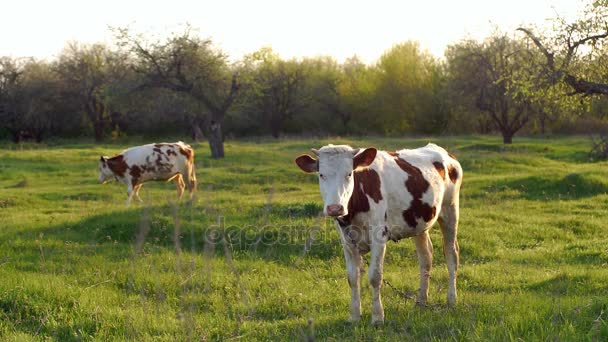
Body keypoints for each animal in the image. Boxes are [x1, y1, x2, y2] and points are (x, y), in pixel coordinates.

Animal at [294, 144, 460, 324]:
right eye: (321, 174)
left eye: (349, 174)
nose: (335, 208)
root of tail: (444, 152)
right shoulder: (347, 241)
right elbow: (352, 277)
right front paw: (354, 316)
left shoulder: (379, 236)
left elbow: (375, 276)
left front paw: (377, 317)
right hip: (419, 222)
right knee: (426, 257)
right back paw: (421, 300)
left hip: (450, 210)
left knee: (451, 255)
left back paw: (451, 299)